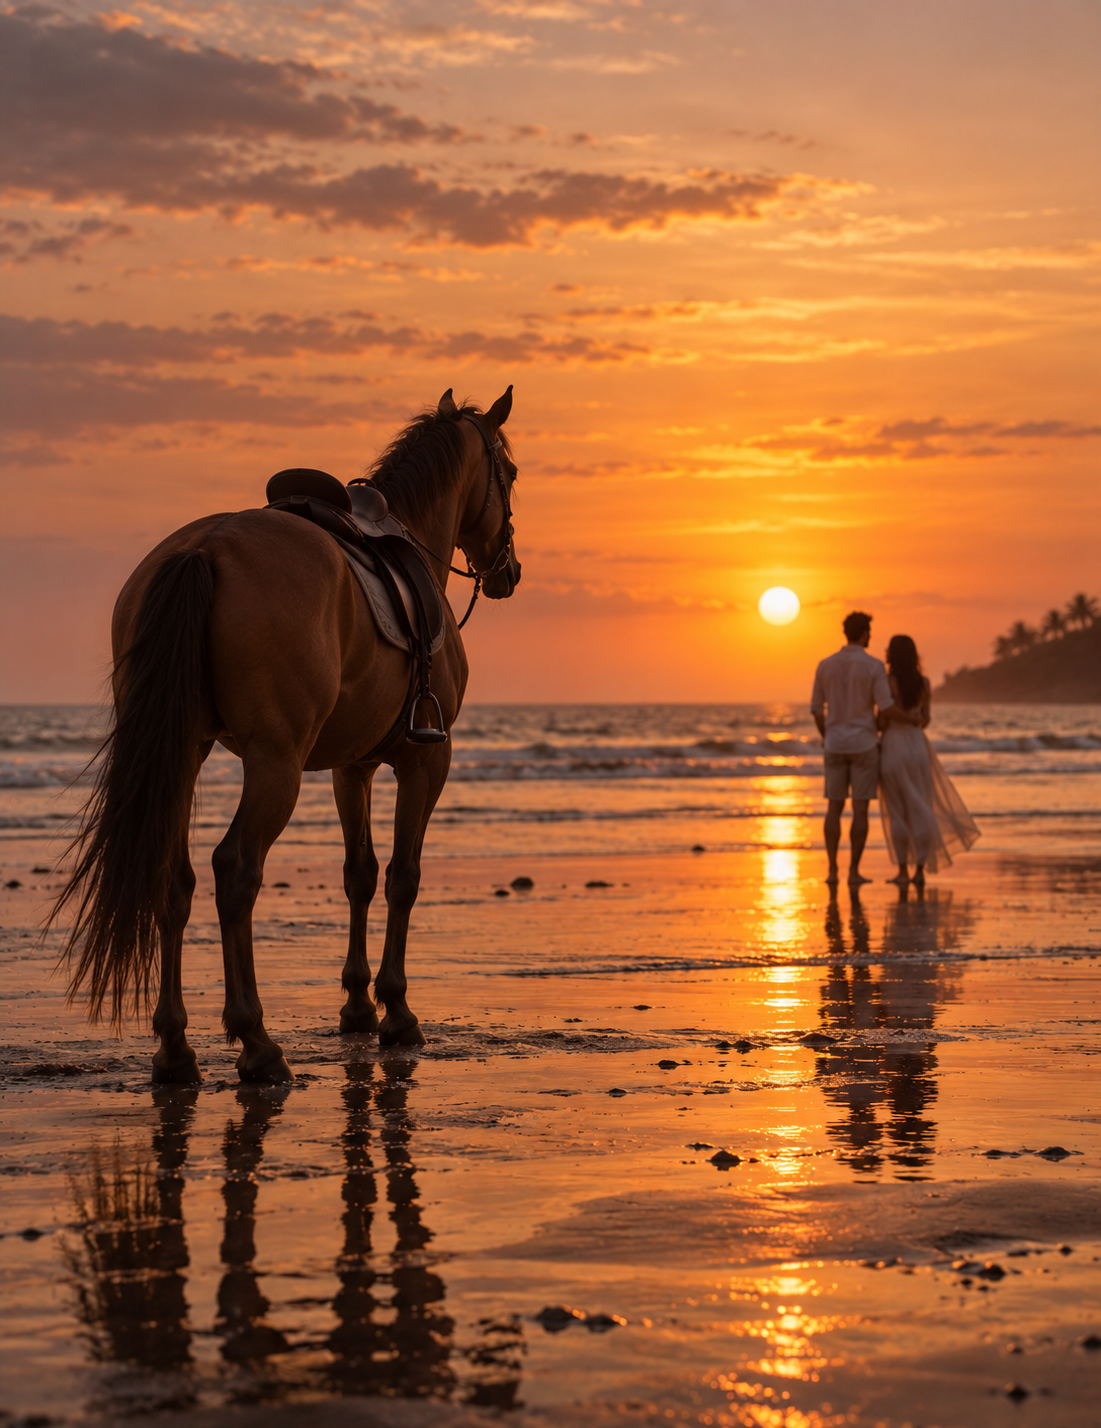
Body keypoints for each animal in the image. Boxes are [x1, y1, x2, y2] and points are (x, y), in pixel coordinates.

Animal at [52, 387, 520, 1085]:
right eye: (510, 474)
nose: (509, 571)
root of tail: (204, 547)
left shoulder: (352, 766)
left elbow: (360, 873)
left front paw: (357, 1007)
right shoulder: (423, 761)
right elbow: (403, 876)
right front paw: (397, 1013)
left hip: (183, 752)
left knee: (175, 880)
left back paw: (175, 1047)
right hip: (275, 764)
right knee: (235, 870)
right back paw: (257, 1042)